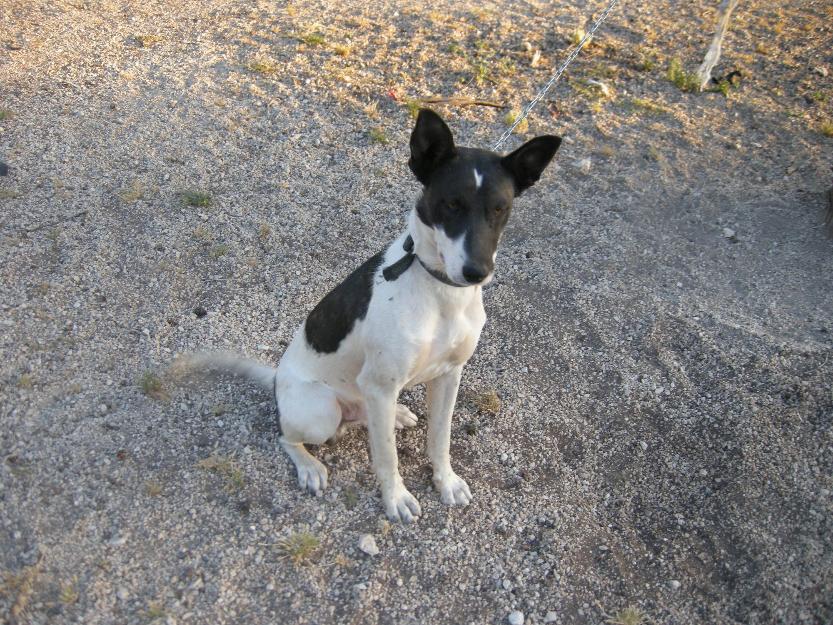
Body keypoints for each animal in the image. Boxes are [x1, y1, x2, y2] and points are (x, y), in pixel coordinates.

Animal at [197, 109, 560, 520]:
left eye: (500, 208)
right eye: (451, 204)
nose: (476, 272)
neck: (439, 292)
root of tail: (277, 379)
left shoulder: (450, 375)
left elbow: (440, 439)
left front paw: (446, 481)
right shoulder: (380, 384)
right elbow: (387, 456)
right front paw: (396, 498)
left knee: (365, 420)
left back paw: (396, 415)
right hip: (321, 411)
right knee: (286, 436)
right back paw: (309, 465)